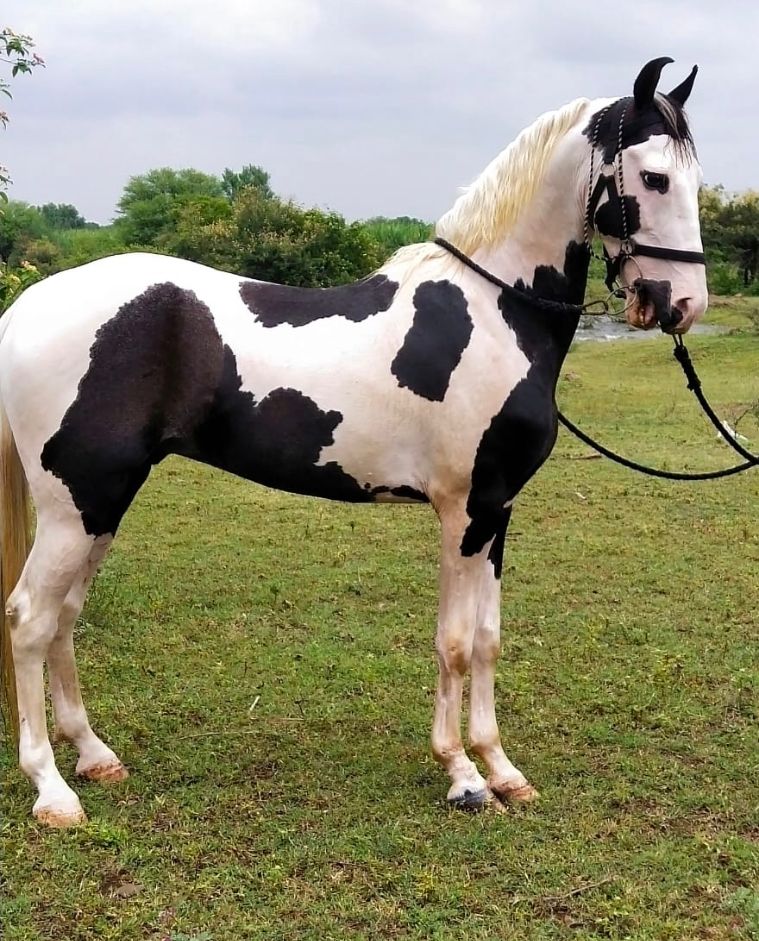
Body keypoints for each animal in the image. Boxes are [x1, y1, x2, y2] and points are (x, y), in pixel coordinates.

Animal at [0, 58, 707, 827]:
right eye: (654, 178)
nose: (682, 304)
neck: (492, 313)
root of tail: (25, 306)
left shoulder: (497, 511)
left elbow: (487, 640)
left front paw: (502, 769)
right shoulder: (463, 513)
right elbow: (454, 644)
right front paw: (463, 775)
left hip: (102, 504)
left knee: (64, 617)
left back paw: (94, 756)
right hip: (76, 505)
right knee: (31, 619)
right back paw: (52, 788)